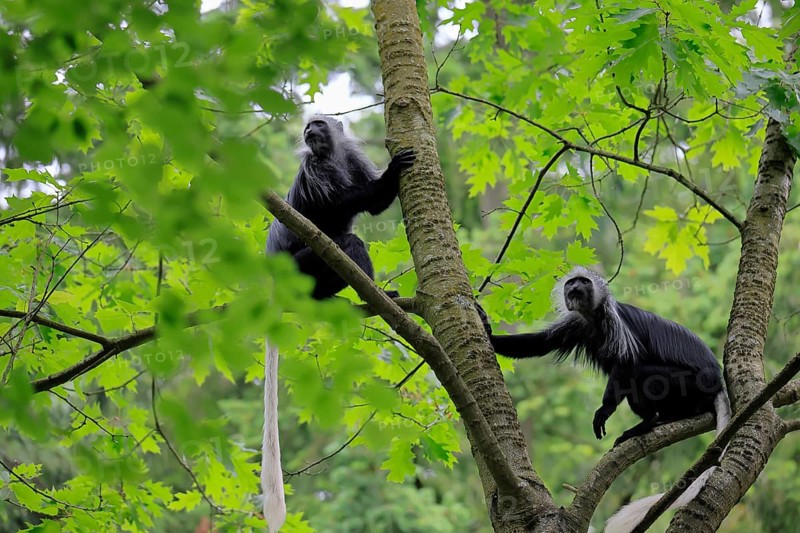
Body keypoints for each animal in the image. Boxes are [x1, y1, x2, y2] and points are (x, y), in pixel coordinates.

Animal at [262, 115, 414, 533]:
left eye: (318, 124)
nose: (309, 132)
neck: (330, 155)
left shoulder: (351, 161)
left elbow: (373, 205)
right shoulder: (315, 171)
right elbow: (340, 203)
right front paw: (392, 170)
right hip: (304, 266)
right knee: (346, 243)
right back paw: (376, 296)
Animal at [476, 266, 731, 532]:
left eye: (584, 282)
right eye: (571, 282)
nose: (574, 287)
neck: (594, 318)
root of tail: (717, 382)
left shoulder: (616, 325)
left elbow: (625, 363)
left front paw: (604, 411)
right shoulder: (575, 324)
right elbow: (540, 343)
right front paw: (488, 331)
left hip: (686, 382)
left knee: (640, 372)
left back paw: (647, 423)